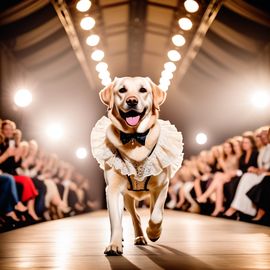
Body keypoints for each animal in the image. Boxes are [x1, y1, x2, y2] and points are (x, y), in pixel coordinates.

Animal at [91, 76, 184, 255]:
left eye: (143, 90)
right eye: (122, 90)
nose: (132, 101)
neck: (134, 138)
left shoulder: (162, 186)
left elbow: (156, 215)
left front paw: (153, 232)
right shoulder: (113, 190)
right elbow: (115, 219)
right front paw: (114, 244)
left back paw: (145, 235)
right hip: (127, 197)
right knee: (134, 217)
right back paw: (136, 237)